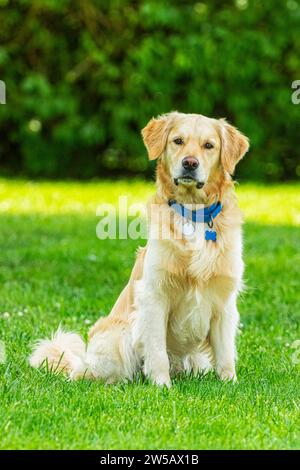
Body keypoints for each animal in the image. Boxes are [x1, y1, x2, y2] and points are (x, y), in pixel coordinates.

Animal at [30, 113, 250, 386]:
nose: (190, 163)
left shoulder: (224, 301)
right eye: (178, 141)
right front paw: (161, 386)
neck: (193, 213)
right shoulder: (154, 296)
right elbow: (156, 352)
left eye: (209, 145)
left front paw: (230, 384)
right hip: (119, 336)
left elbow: (226, 353)